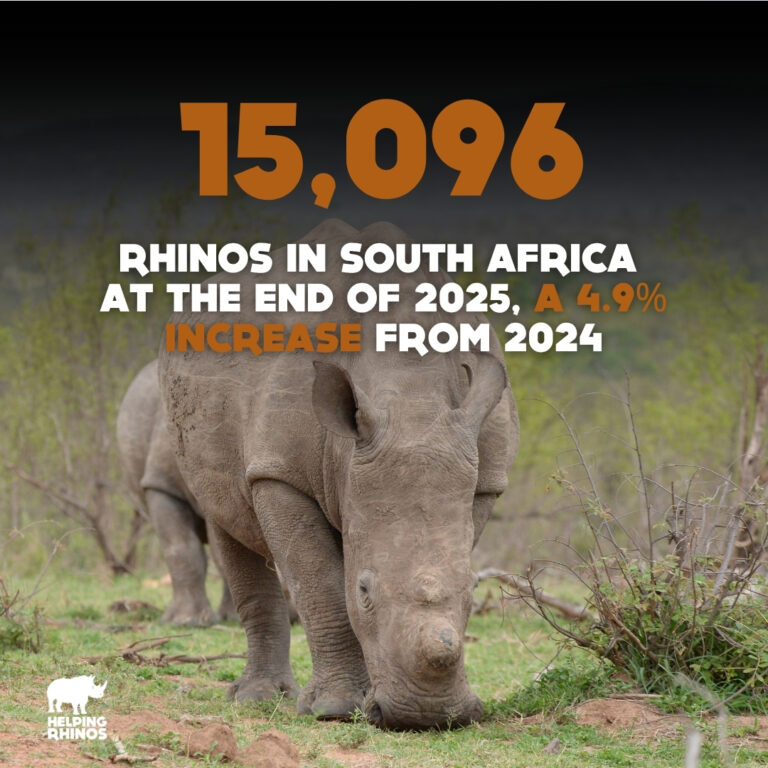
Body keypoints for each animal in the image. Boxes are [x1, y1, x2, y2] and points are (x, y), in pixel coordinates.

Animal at [159, 220, 518, 729]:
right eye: (364, 591)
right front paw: (335, 709)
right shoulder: (280, 472)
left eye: (475, 591)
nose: (426, 715)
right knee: (226, 514)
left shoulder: (484, 478)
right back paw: (256, 699)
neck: (411, 396)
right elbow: (322, 583)